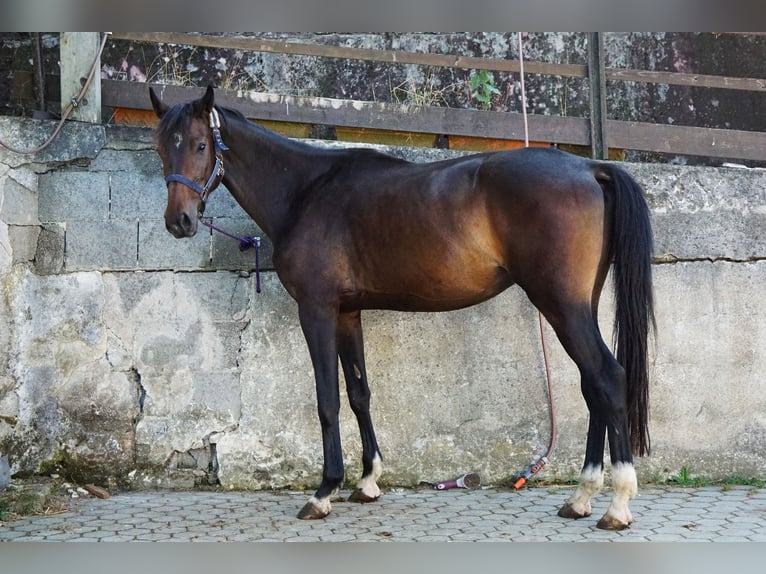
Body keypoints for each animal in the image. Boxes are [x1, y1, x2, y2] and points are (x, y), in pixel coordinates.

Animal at [150, 85, 656, 532]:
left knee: (608, 378)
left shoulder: (316, 310)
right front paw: (368, 482)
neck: (306, 190)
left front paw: (324, 491)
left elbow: (328, 399)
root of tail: (590, 166)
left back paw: (616, 504)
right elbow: (359, 393)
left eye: (200, 144)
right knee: (592, 385)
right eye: (160, 148)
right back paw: (580, 498)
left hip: (561, 305)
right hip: (577, 306)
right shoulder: (347, 313)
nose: (179, 221)